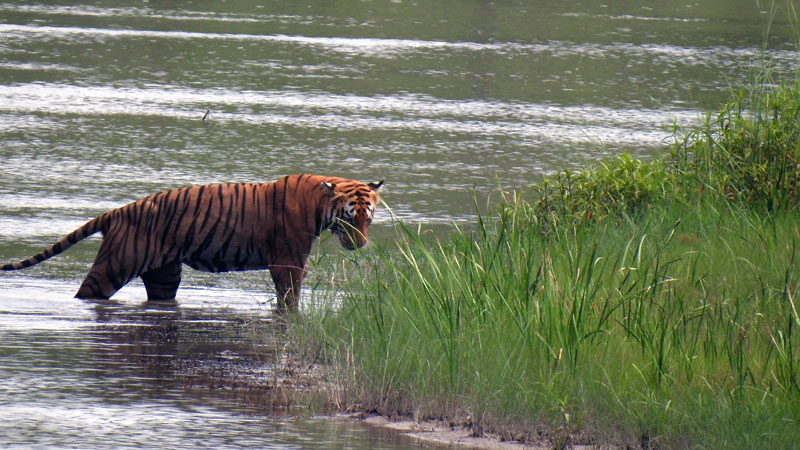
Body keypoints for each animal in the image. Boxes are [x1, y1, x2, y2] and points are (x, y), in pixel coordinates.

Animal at [0, 174, 384, 312]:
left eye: (368, 217)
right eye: (350, 217)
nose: (361, 244)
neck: (320, 202)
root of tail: (119, 210)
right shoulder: (288, 261)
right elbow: (289, 297)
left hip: (164, 274)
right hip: (114, 266)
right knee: (87, 292)